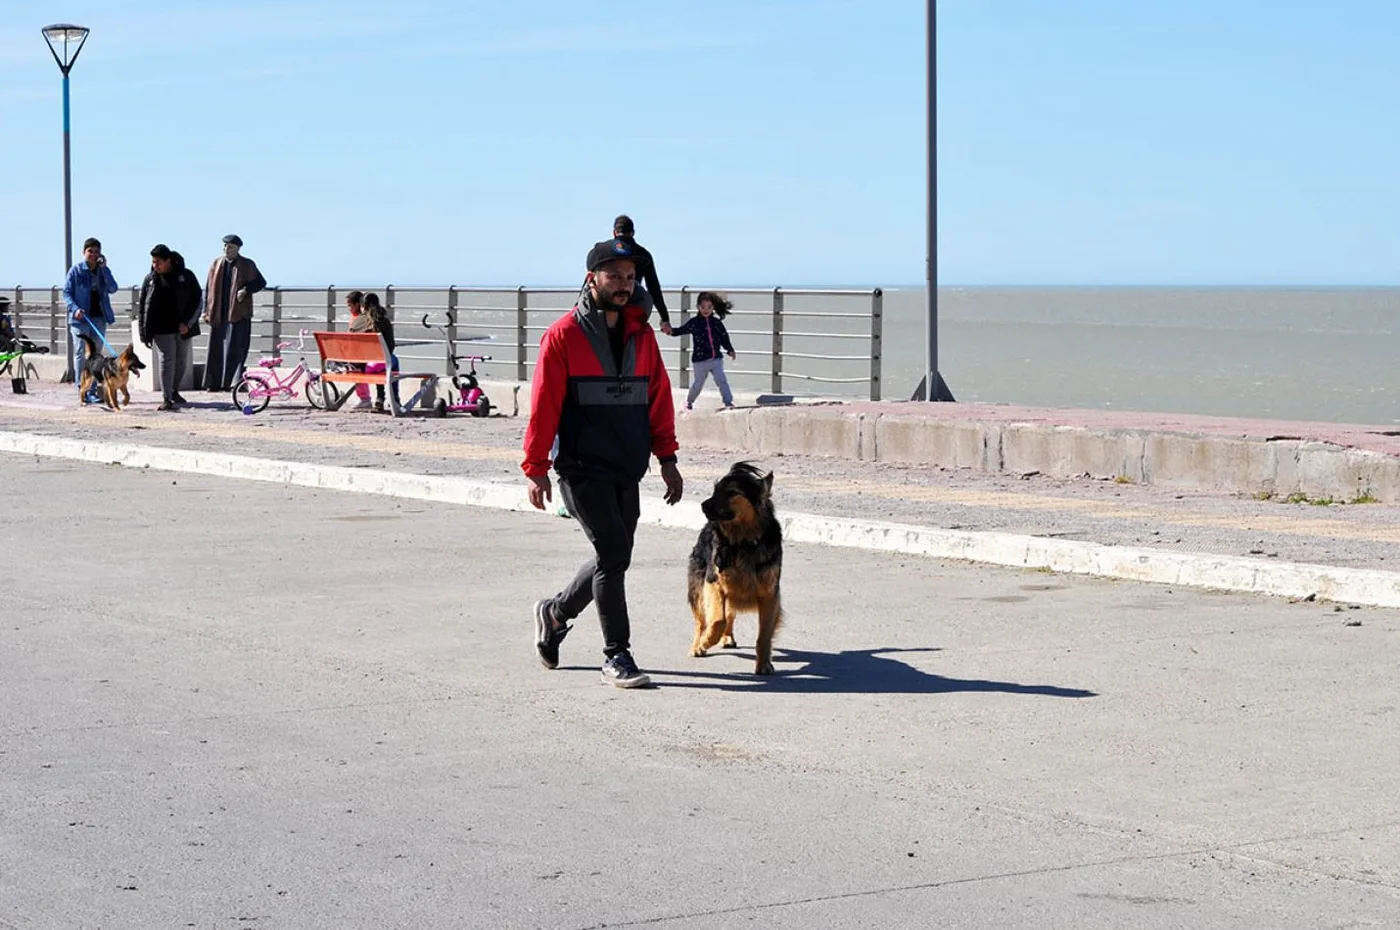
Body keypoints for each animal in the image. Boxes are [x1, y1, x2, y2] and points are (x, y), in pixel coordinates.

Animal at [688, 462, 789, 675]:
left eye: (732, 492)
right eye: (715, 490)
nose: (703, 505)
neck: (744, 541)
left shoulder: (769, 595)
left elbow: (764, 635)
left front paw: (764, 664)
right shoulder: (713, 583)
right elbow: (717, 620)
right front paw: (707, 640)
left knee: (729, 614)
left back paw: (727, 637)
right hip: (698, 589)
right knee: (702, 621)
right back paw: (698, 645)